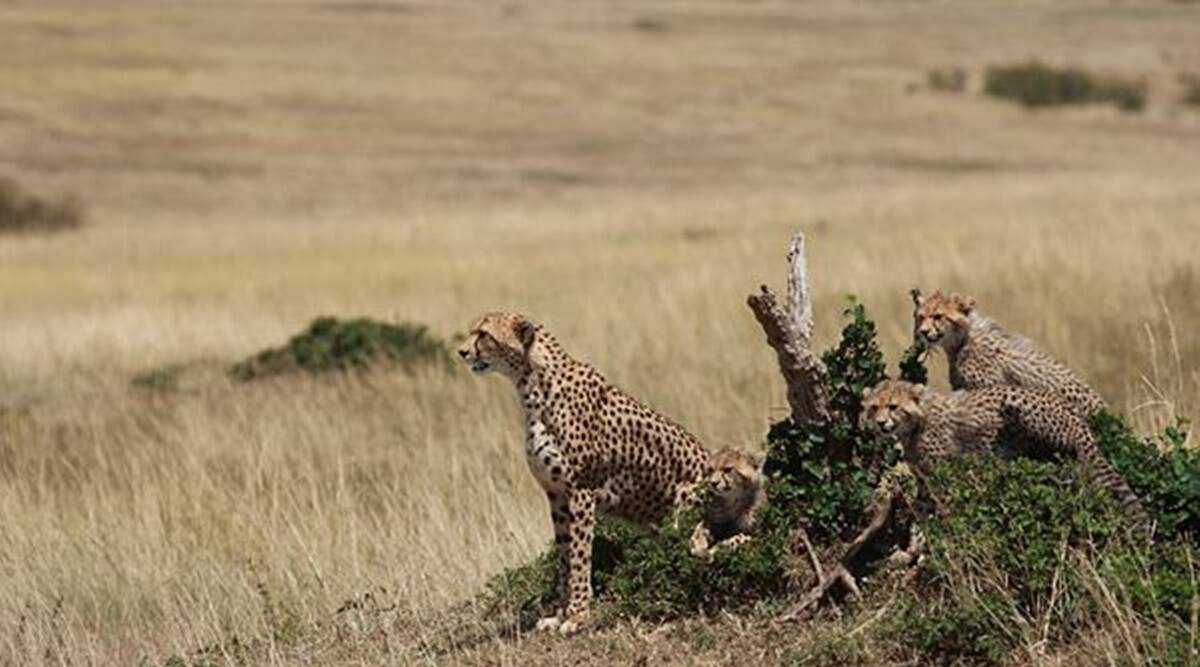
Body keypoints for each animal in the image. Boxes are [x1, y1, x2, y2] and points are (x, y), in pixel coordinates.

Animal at [458, 312, 711, 634]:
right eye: (472, 331)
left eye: (484, 334)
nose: (462, 352)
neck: (533, 385)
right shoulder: (556, 495)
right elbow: (564, 556)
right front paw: (559, 613)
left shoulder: (581, 491)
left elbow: (579, 557)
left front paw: (577, 617)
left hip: (686, 502)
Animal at [861, 379, 1151, 536]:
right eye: (874, 407)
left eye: (893, 407)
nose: (881, 423)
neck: (916, 424)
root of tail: (1080, 421)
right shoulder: (924, 475)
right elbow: (922, 502)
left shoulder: (944, 470)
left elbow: (945, 501)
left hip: (1017, 401)